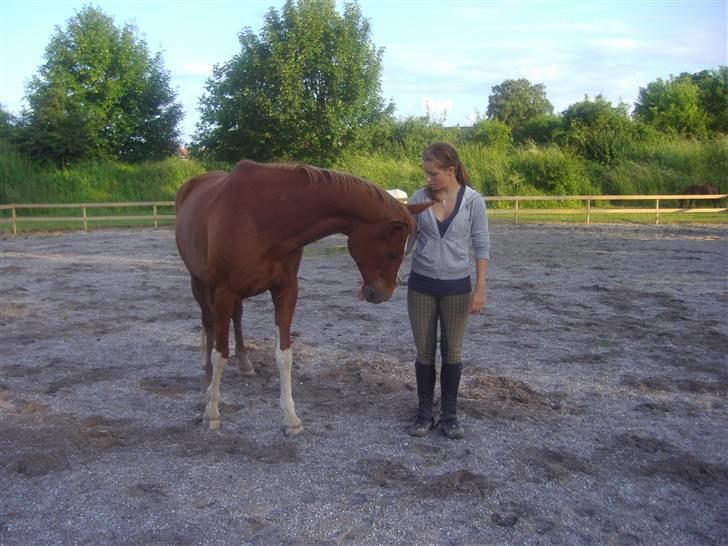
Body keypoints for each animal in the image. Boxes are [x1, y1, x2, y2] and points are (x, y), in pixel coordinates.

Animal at [174, 158, 430, 434]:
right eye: (393, 253)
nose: (382, 294)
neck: (264, 216)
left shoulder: (286, 290)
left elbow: (284, 355)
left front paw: (291, 417)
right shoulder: (225, 290)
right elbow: (219, 353)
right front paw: (212, 412)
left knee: (237, 318)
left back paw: (245, 364)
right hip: (200, 283)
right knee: (210, 325)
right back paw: (207, 380)